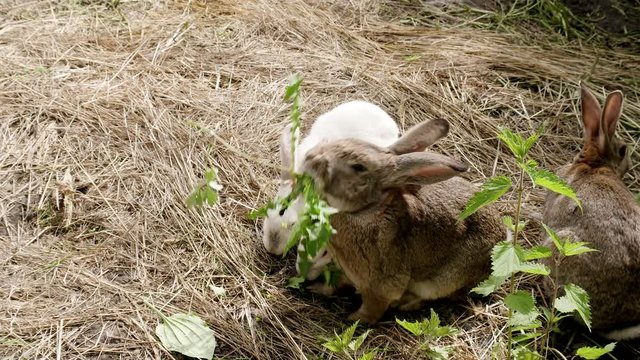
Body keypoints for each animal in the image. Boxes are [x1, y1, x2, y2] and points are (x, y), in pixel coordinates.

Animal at [302, 118, 504, 324]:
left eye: (358, 167)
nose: (310, 158)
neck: (365, 211)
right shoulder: (345, 271)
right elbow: (335, 285)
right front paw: (318, 289)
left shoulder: (379, 285)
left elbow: (372, 309)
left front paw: (354, 319)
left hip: (443, 281)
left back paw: (405, 304)